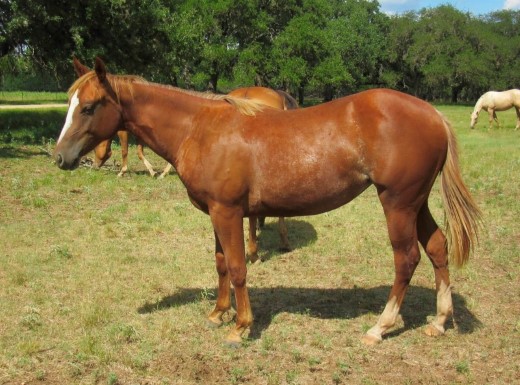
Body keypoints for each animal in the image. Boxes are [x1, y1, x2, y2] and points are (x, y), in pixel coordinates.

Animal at [54, 58, 482, 346]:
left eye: (89, 106)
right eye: (71, 101)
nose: (60, 158)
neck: (200, 128)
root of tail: (433, 114)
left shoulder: (227, 212)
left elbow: (239, 267)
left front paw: (241, 327)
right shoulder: (216, 213)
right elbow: (221, 263)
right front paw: (217, 313)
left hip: (398, 204)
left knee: (406, 259)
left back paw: (380, 327)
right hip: (417, 202)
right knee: (437, 247)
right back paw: (439, 321)